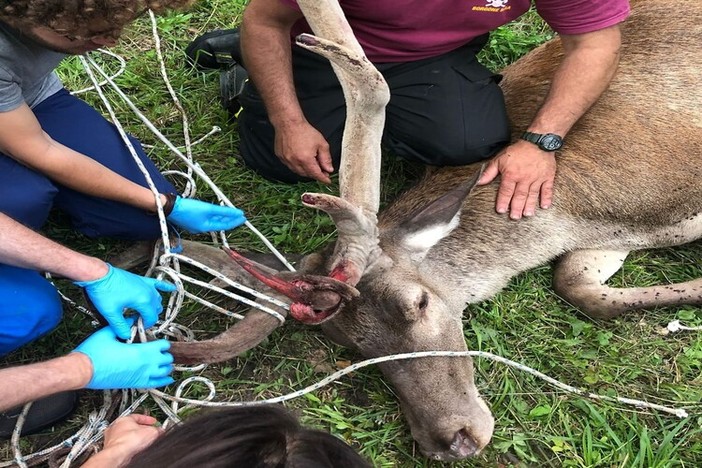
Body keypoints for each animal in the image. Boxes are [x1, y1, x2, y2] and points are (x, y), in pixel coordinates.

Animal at [158, 0, 702, 460]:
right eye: (354, 346)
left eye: (417, 303)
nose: (452, 440)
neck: (578, 212)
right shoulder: (607, 239)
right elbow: (578, 287)